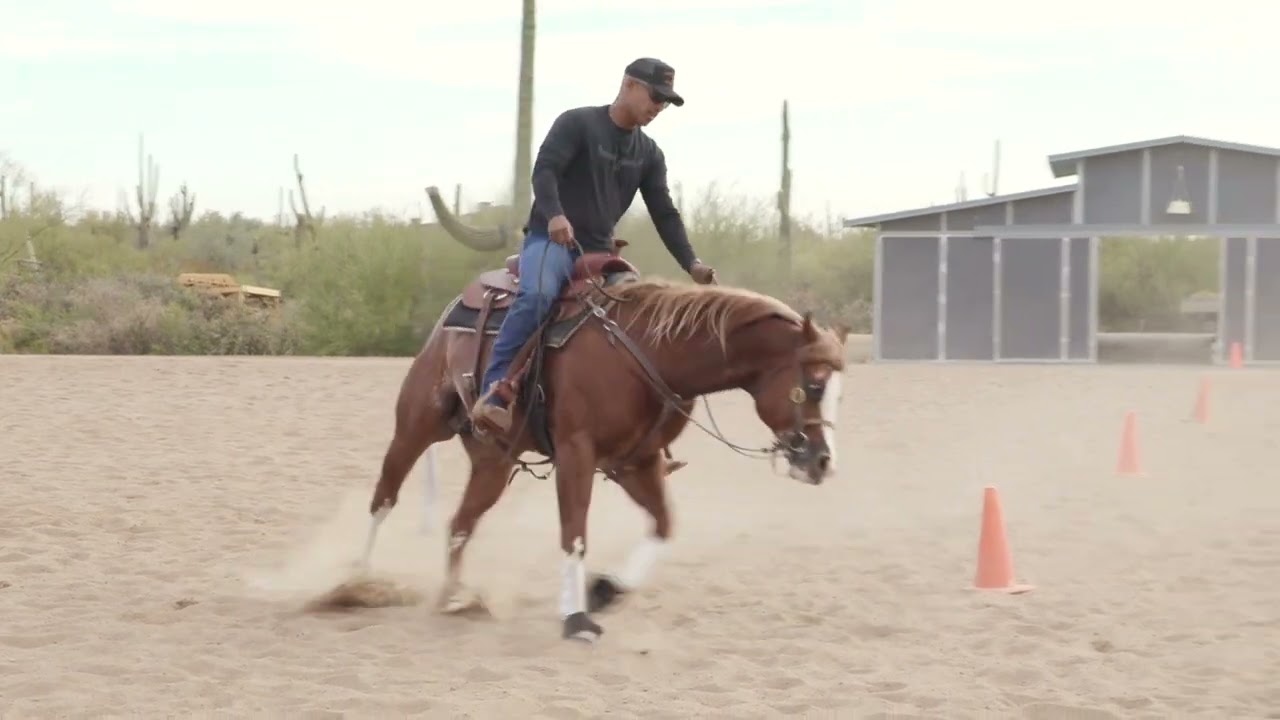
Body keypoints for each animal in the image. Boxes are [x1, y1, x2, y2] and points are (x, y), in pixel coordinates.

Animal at [357, 240, 849, 642]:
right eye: (814, 384)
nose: (823, 462)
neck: (651, 352)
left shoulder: (635, 461)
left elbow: (664, 525)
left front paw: (605, 589)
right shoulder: (577, 452)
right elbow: (574, 532)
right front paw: (575, 617)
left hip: (494, 463)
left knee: (460, 523)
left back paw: (455, 595)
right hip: (416, 426)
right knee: (384, 498)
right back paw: (359, 582)